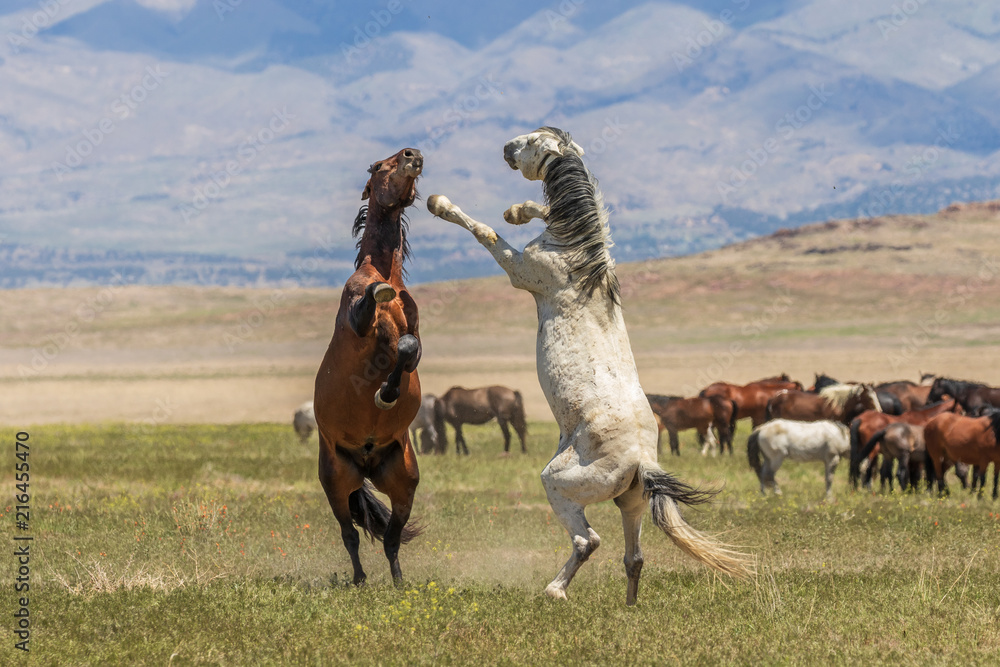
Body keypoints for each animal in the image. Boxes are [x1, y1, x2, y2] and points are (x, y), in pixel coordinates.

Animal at [313, 147, 424, 586]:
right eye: (380, 166)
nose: (414, 155)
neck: (383, 270)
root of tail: (364, 461)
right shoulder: (358, 322)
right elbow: (371, 306)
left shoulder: (415, 335)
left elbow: (409, 348)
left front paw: (387, 393)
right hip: (336, 482)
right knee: (350, 535)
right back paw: (359, 580)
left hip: (403, 482)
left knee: (392, 538)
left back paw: (398, 584)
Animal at [427, 126, 753, 605]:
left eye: (531, 143)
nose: (506, 148)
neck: (577, 254)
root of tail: (641, 461)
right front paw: (518, 210)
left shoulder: (519, 270)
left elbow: (483, 230)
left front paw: (440, 203)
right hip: (631, 503)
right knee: (633, 557)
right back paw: (629, 606)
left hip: (558, 483)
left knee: (587, 540)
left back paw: (555, 590)